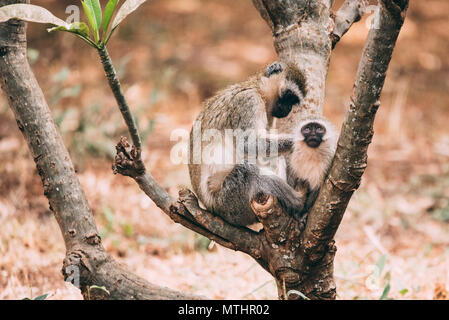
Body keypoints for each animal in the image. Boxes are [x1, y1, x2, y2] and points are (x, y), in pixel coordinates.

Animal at [187, 62, 306, 228]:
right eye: (289, 96)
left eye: (293, 102)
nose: (288, 109)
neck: (258, 89)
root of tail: (211, 209)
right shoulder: (248, 102)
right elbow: (247, 145)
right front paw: (301, 138)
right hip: (229, 204)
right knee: (247, 171)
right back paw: (297, 203)